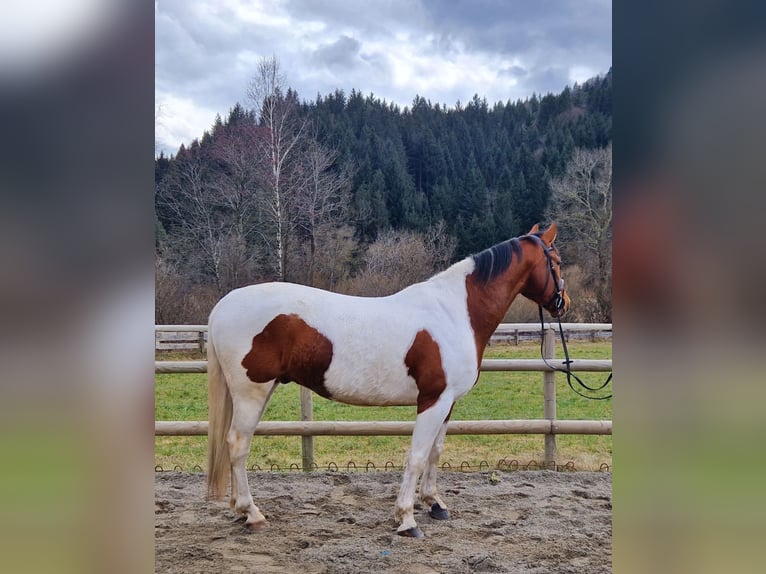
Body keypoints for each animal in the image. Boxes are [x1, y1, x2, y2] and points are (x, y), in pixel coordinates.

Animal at [206, 222, 568, 540]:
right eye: (557, 261)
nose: (563, 304)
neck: (455, 313)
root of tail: (223, 306)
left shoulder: (448, 401)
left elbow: (435, 451)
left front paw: (434, 504)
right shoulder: (433, 399)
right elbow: (417, 455)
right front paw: (407, 519)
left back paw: (240, 510)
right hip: (252, 391)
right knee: (237, 444)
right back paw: (252, 513)